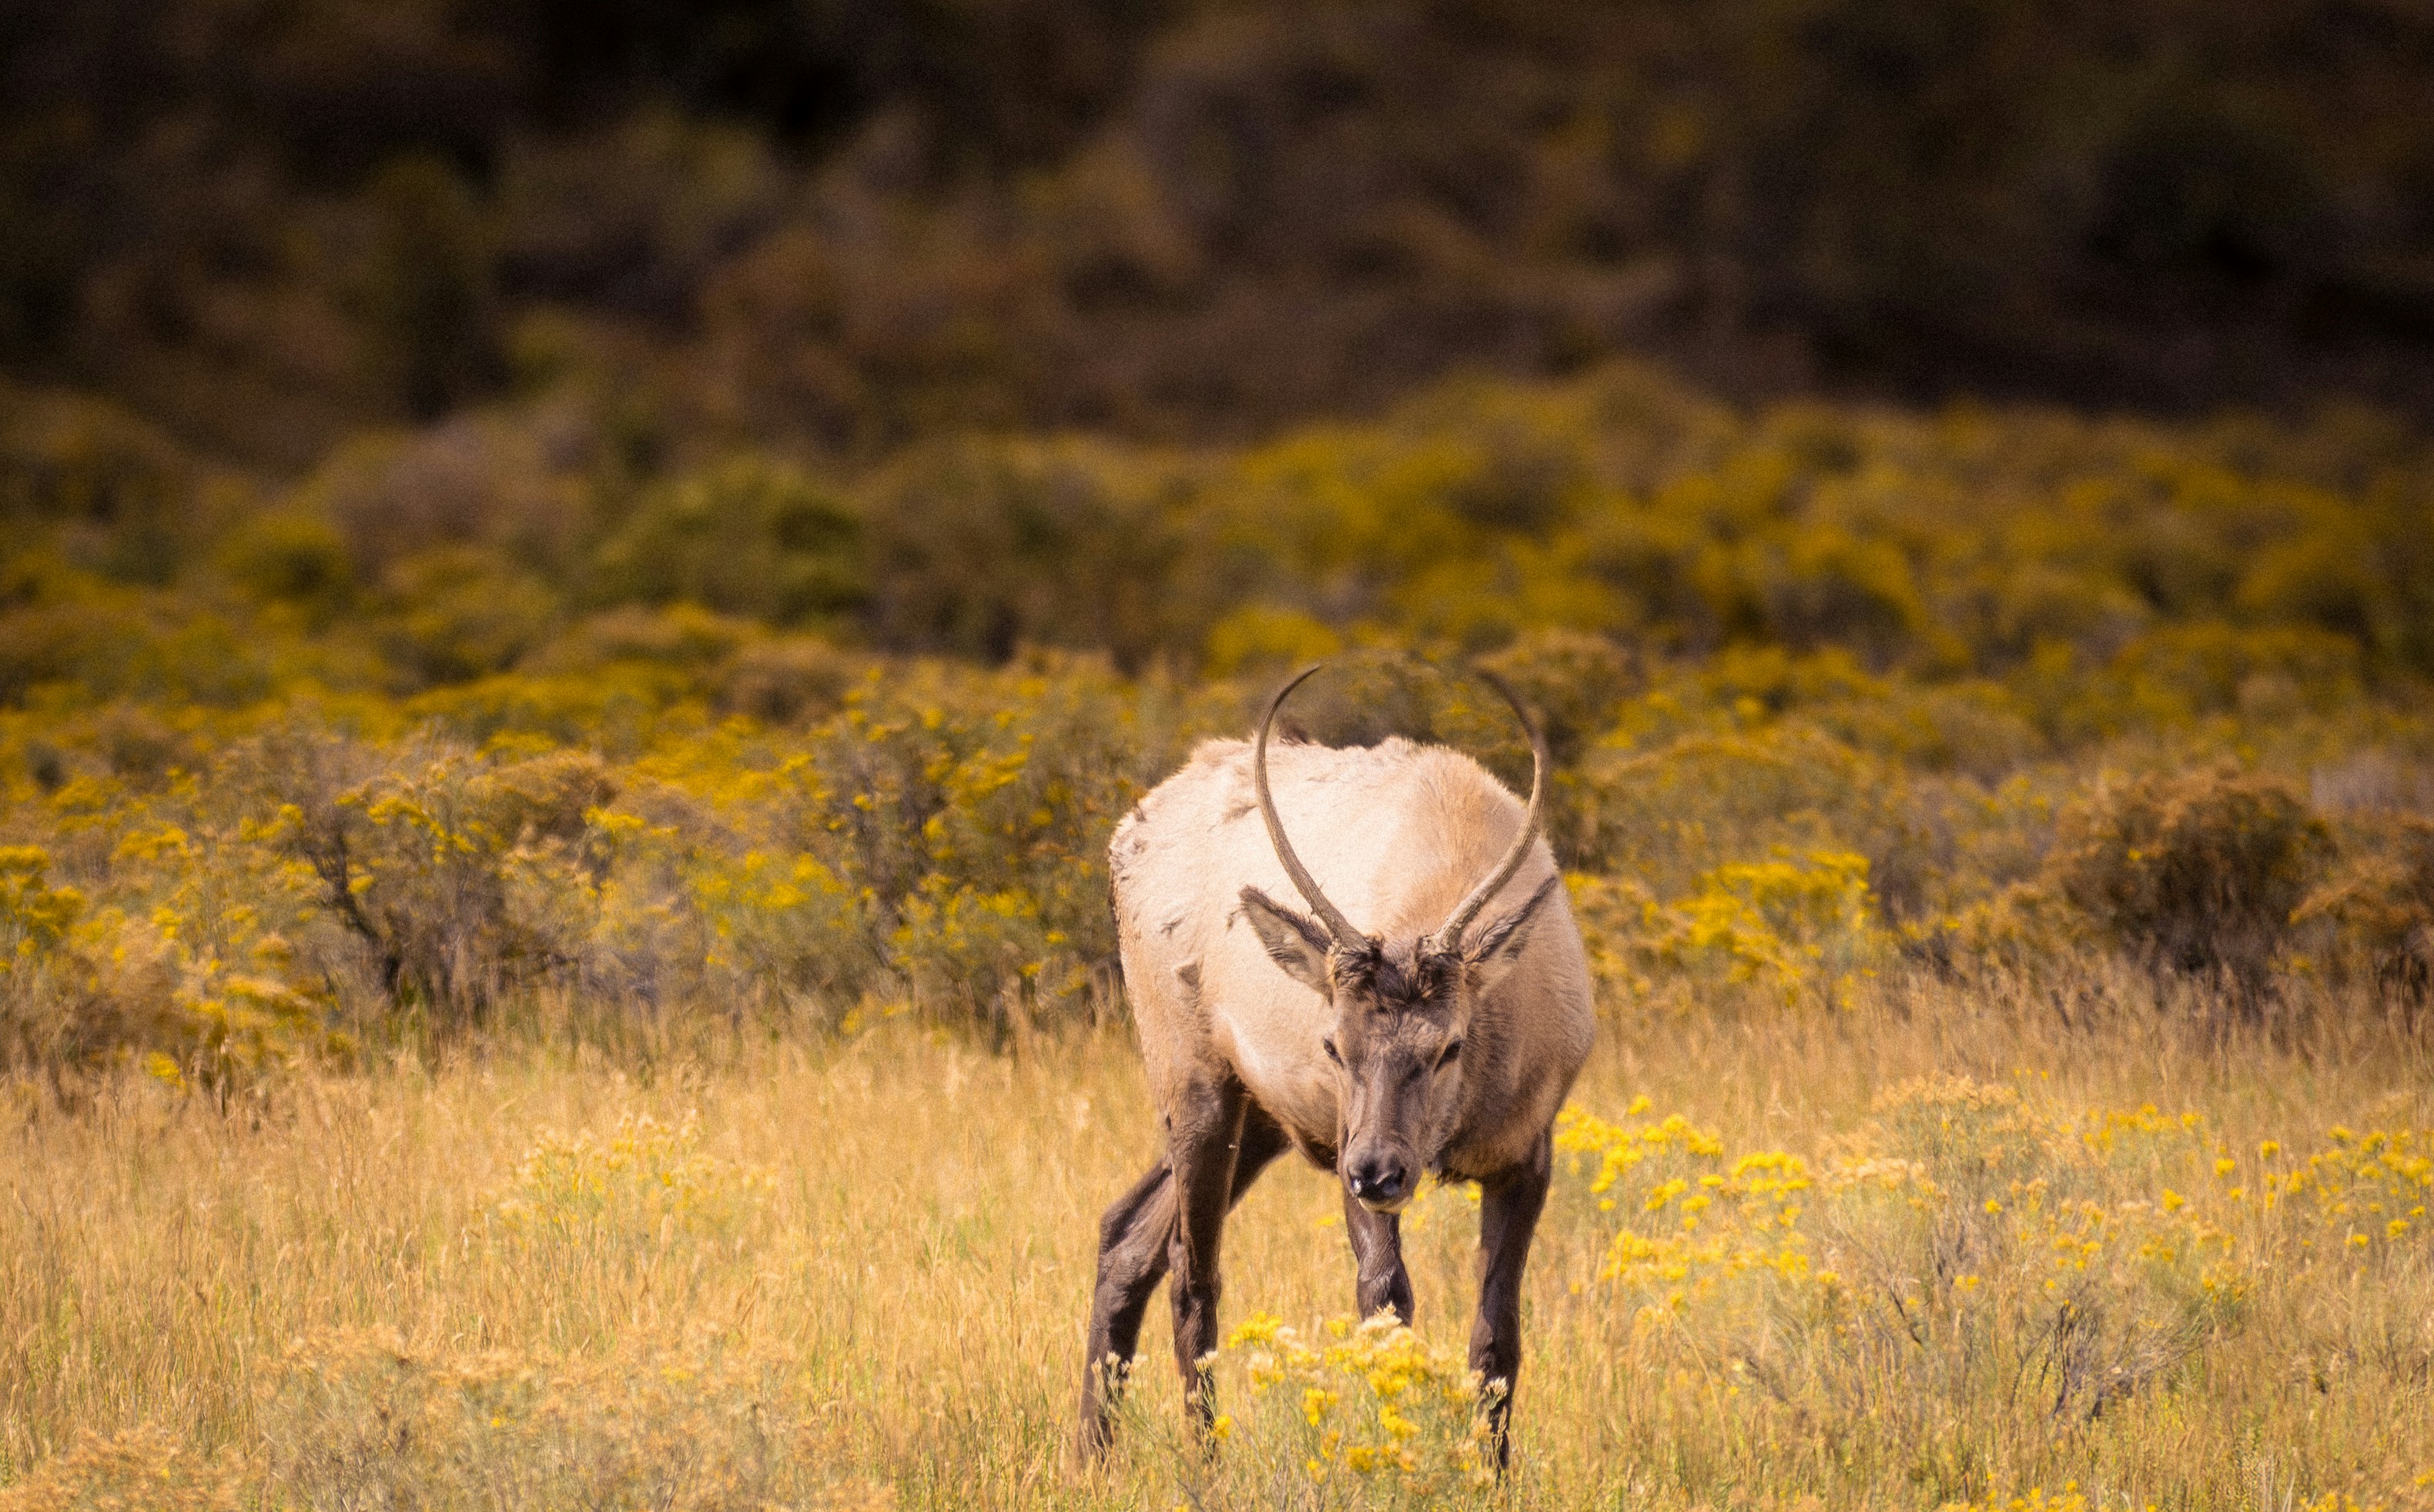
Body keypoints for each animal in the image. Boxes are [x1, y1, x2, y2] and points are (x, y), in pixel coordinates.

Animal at [1076, 662, 1595, 1470]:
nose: (1378, 1172)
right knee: (1192, 1271)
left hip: (1261, 1119)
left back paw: (1091, 1457)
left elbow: (1496, 1340)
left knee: (1128, 1232)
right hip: (1194, 1080)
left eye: (1448, 1045)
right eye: (1333, 1045)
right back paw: (1206, 1465)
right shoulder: (1341, 1129)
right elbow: (1384, 1302)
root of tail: (1121, 838)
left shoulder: (1527, 1150)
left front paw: (1492, 1474)